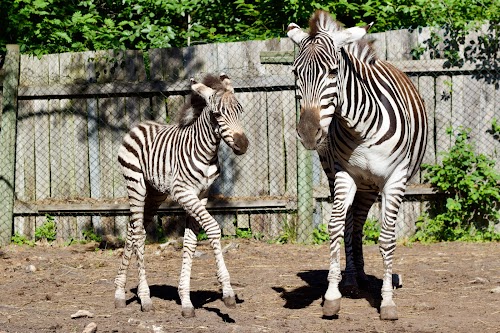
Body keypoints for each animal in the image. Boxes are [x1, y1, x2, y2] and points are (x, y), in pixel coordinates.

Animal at [115, 72, 250, 316]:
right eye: (217, 114)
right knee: (138, 233)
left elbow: (190, 242)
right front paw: (227, 292)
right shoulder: (183, 192)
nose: (243, 145)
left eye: (239, 110)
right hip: (135, 184)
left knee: (133, 229)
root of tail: (140, 125)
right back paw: (144, 298)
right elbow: (213, 228)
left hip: (155, 193)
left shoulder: (202, 194)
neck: (205, 152)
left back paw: (119, 292)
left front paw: (186, 300)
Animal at [288, 9, 428, 320]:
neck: (360, 130)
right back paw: (352, 278)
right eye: (295, 73)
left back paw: (363, 277)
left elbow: (387, 238)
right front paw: (332, 295)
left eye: (332, 71)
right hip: (347, 180)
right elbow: (336, 227)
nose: (308, 133)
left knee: (360, 223)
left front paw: (387, 302)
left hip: (371, 185)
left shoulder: (394, 179)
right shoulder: (343, 174)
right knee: (353, 223)